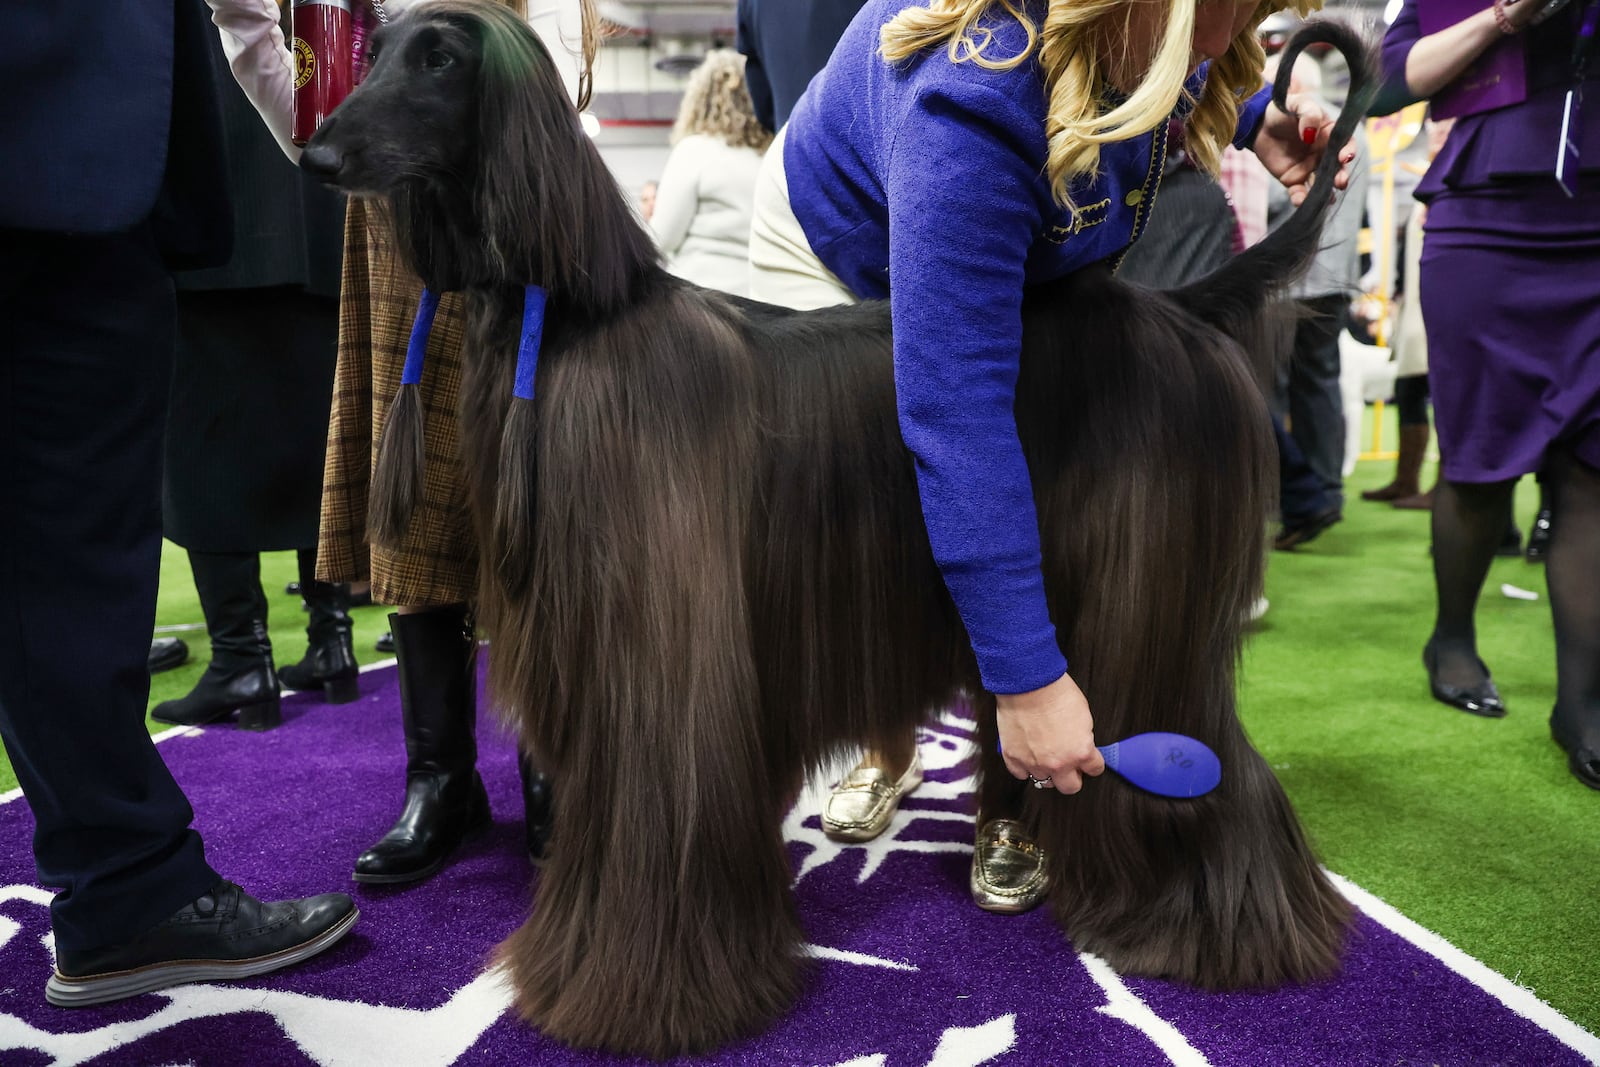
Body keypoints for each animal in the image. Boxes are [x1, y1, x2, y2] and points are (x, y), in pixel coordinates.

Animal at [308, 6, 1376, 1062]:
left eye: (440, 60)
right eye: (376, 50)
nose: (318, 153)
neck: (572, 321)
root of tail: (1179, 305)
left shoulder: (661, 657)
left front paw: (635, 996)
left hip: (1145, 601)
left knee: (1203, 759)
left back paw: (1220, 933)